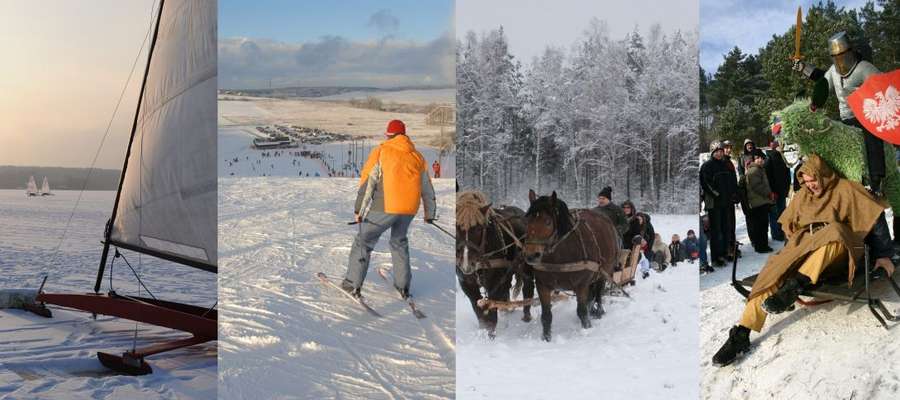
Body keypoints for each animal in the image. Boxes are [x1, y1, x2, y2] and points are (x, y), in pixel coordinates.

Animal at [458, 190, 536, 334]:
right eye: (457, 227)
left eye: (478, 229)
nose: (466, 263)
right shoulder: (467, 283)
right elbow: (479, 312)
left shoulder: (494, 281)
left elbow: (492, 313)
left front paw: (491, 334)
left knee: (528, 285)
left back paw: (526, 316)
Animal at [524, 190, 624, 340]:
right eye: (527, 220)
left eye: (548, 222)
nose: (531, 255)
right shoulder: (542, 285)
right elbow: (546, 316)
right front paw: (546, 338)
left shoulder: (581, 284)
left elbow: (582, 311)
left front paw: (587, 329)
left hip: (604, 271)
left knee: (598, 293)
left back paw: (598, 311)